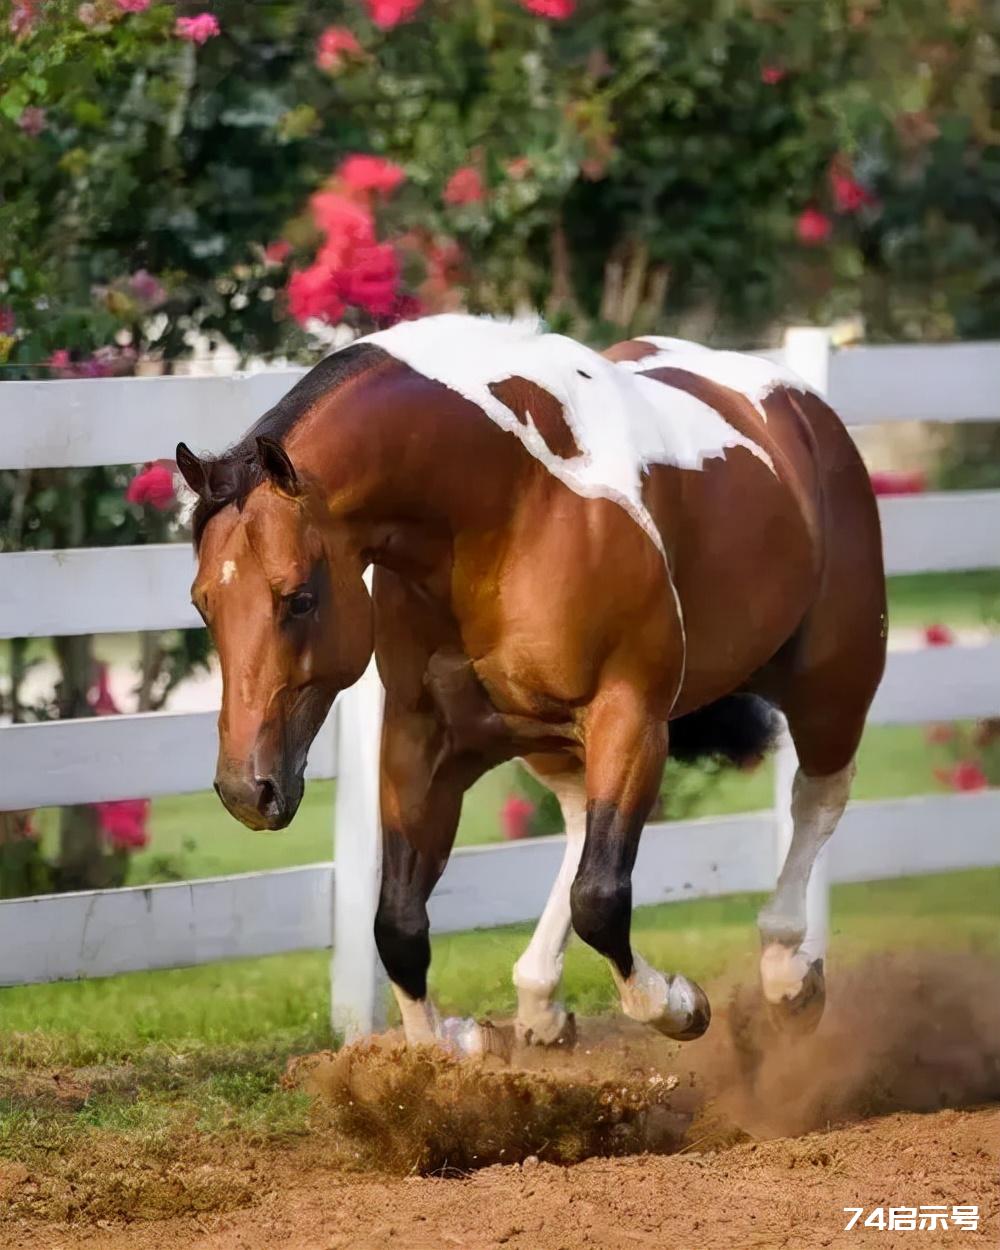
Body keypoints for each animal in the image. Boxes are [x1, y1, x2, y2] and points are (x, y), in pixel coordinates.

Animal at [177, 315, 885, 1055]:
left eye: (300, 599)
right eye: (204, 603)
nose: (247, 791)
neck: (505, 502)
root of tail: (801, 407)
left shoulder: (630, 719)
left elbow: (601, 899)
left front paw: (680, 1004)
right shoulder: (422, 739)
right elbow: (397, 925)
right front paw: (453, 1042)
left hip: (834, 680)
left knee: (817, 797)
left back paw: (788, 975)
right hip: (547, 739)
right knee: (576, 824)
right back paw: (541, 1001)